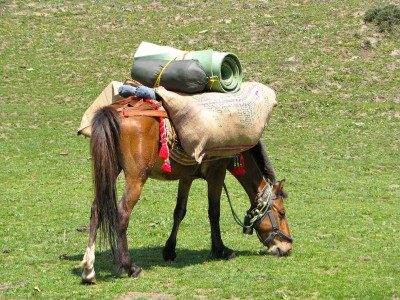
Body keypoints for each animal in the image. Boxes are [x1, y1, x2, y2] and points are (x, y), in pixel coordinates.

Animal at [79, 100, 294, 284]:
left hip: (109, 169)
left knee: (97, 209)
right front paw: (221, 250)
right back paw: (129, 267)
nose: (287, 248)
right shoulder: (217, 174)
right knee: (122, 213)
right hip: (135, 177)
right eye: (282, 213)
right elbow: (214, 212)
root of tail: (114, 112)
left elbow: (179, 211)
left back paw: (89, 269)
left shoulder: (186, 177)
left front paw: (169, 250)